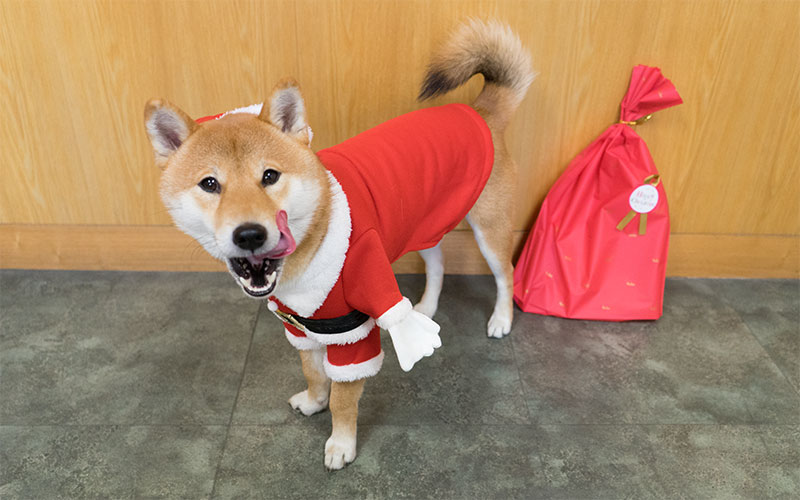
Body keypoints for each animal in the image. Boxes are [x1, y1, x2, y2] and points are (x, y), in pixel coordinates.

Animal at [144, 19, 532, 470]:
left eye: (270, 176)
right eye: (209, 184)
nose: (250, 234)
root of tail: (479, 113)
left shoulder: (352, 327)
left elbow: (345, 398)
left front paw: (341, 443)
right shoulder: (301, 322)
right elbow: (313, 373)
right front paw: (315, 401)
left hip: (489, 230)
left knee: (505, 274)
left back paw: (501, 319)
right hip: (424, 229)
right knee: (437, 264)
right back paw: (425, 307)